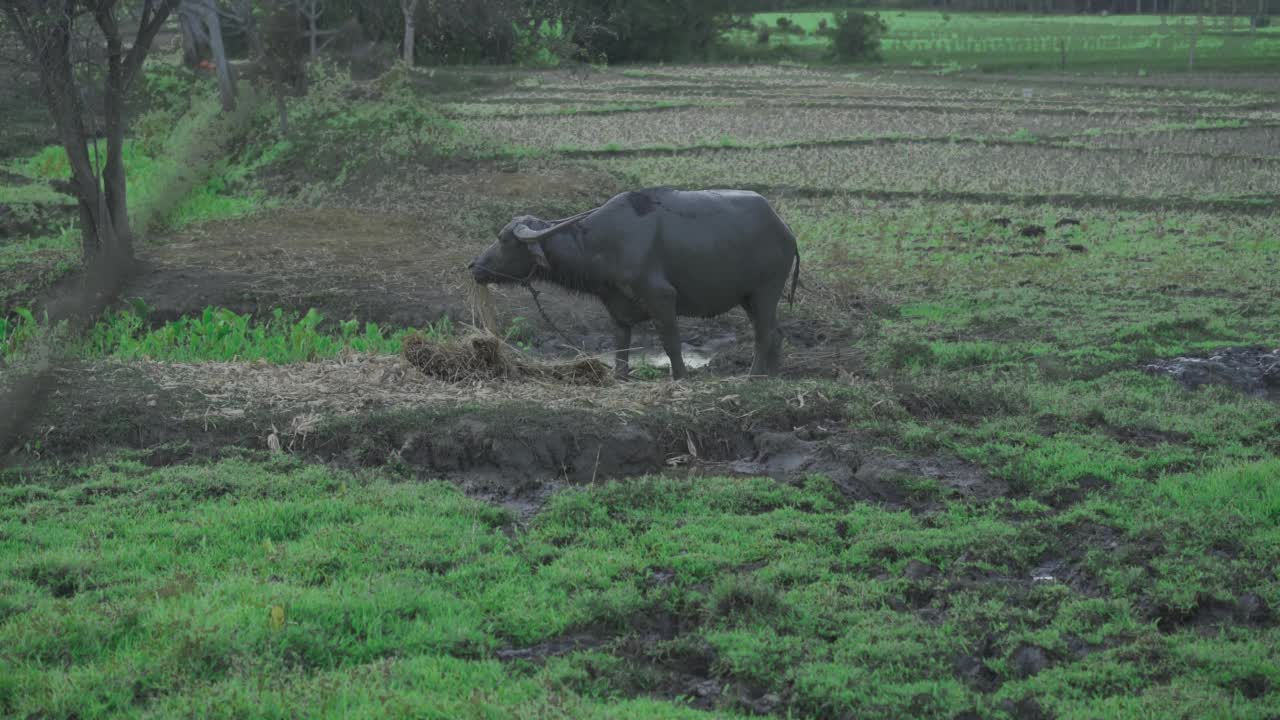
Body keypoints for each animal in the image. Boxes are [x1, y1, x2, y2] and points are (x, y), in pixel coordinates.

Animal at [471, 185, 798, 381]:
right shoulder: (616, 306)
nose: (474, 267)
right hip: (749, 297)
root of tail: (785, 229)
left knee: (763, 334)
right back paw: (774, 375)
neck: (602, 243)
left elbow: (671, 342)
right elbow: (621, 346)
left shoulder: (662, 297)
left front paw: (680, 376)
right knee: (777, 332)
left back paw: (754, 376)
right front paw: (620, 377)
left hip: (765, 291)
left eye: (503, 239)